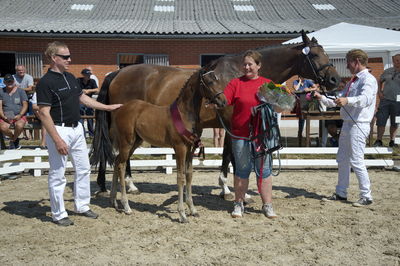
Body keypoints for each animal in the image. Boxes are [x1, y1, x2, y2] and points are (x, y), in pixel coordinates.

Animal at [91, 31, 340, 197]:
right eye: (314, 55)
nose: (334, 80)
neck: (240, 74)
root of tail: (116, 73)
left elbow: (229, 154)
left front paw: (230, 187)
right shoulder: (231, 123)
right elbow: (232, 154)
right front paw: (231, 189)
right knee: (118, 154)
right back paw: (126, 185)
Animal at [108, 66, 227, 222]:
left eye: (218, 80)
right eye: (209, 82)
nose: (223, 101)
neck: (184, 113)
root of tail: (122, 108)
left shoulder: (191, 149)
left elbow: (189, 175)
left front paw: (193, 210)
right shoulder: (180, 148)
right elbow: (180, 177)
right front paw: (182, 214)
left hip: (135, 142)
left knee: (116, 161)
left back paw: (114, 201)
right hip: (126, 142)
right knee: (121, 165)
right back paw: (126, 206)